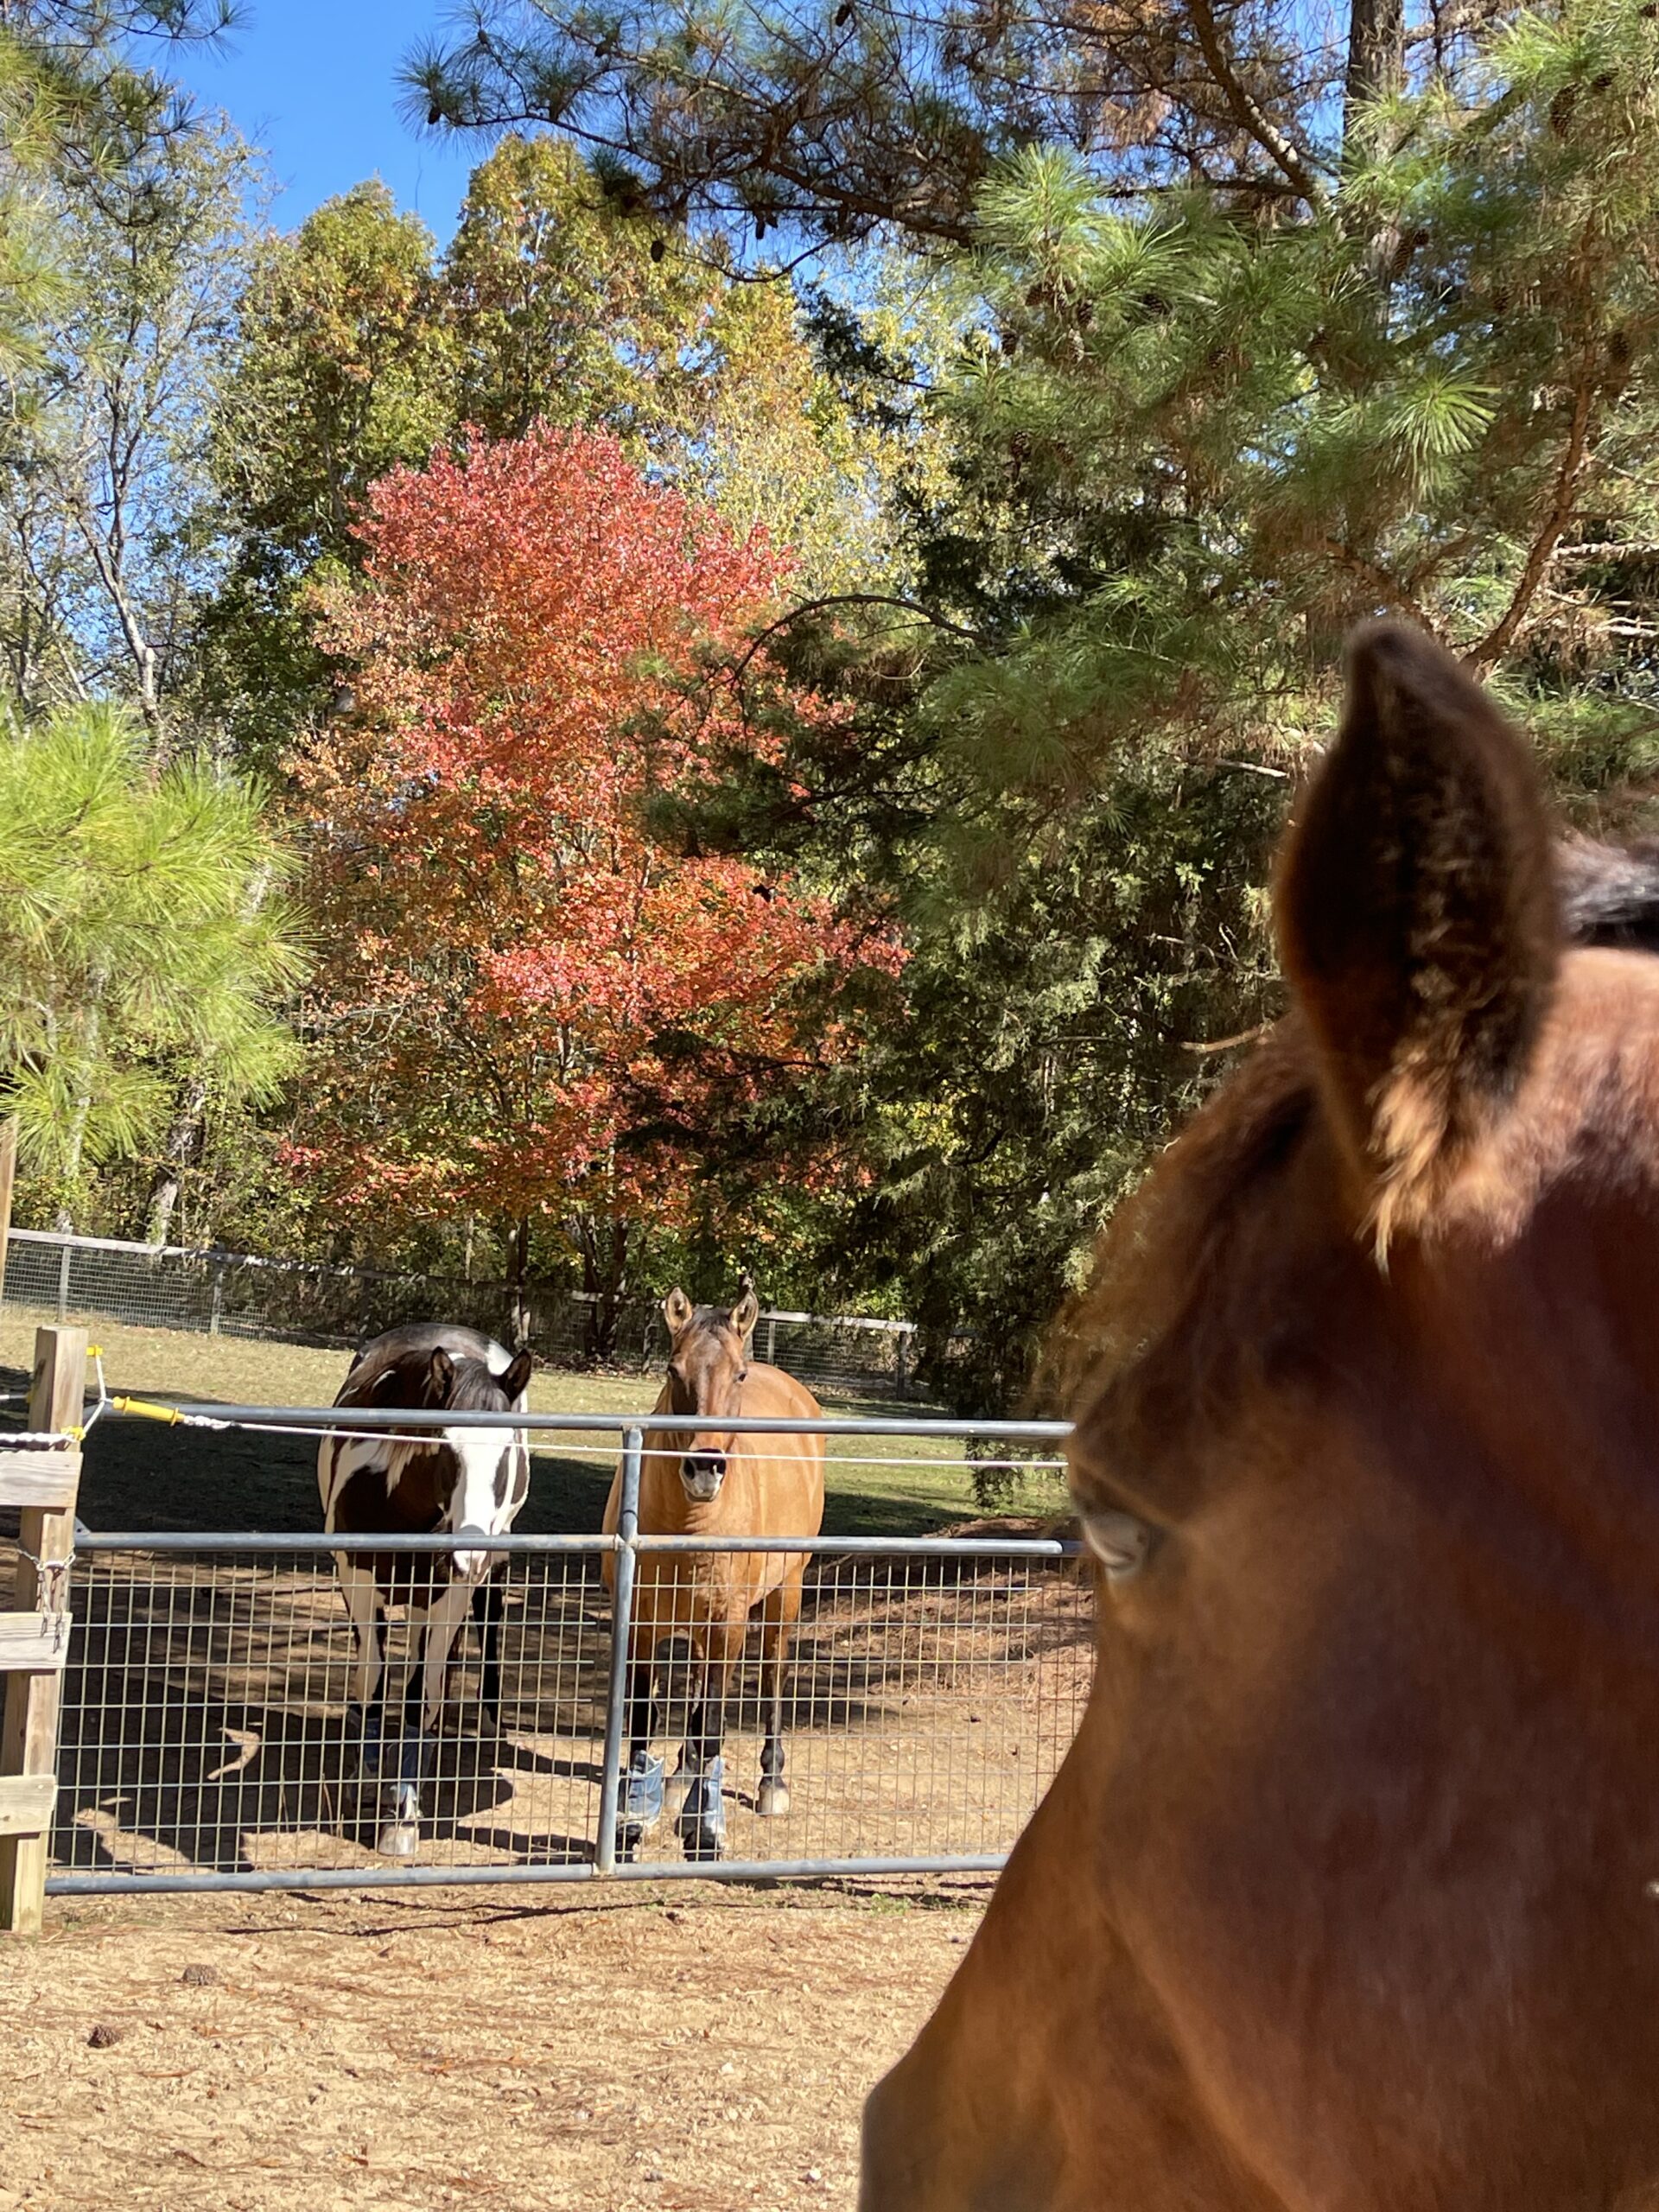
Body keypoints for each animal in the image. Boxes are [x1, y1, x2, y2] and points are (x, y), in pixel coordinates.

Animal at [318, 1318, 532, 1858]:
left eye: (507, 1453)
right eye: (445, 1445)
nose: (468, 1552)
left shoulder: (451, 1590)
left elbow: (420, 1694)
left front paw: (403, 1818)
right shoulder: (357, 1578)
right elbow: (372, 1681)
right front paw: (366, 1779)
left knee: (477, 1632)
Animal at [606, 1282, 827, 1866]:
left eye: (739, 1374)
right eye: (672, 1368)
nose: (704, 1470)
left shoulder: (729, 1623)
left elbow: (712, 1727)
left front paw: (702, 1830)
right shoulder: (641, 1624)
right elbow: (642, 1720)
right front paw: (631, 1823)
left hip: (783, 1596)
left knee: (771, 1676)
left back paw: (772, 1783)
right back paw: (681, 1774)